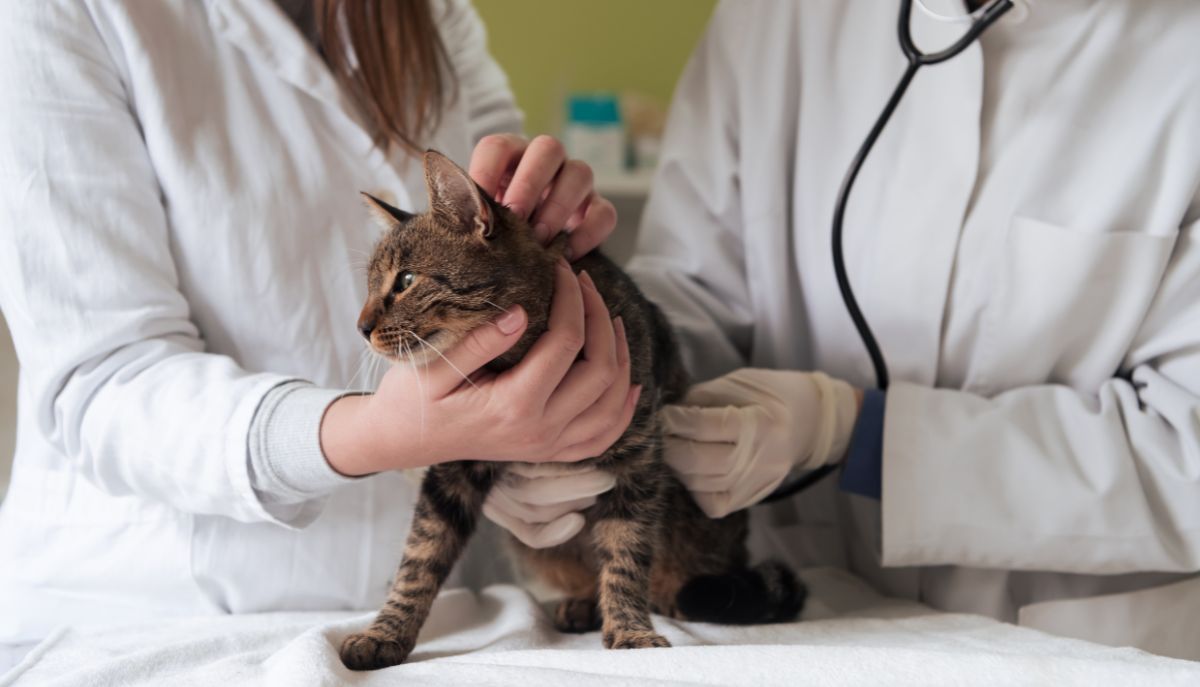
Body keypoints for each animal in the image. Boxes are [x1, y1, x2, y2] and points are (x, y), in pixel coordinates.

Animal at [340, 150, 806, 672]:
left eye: (405, 280)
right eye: (369, 285)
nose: (361, 326)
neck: (515, 356)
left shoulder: (638, 462)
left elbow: (626, 554)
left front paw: (630, 628)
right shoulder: (451, 467)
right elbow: (419, 557)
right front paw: (385, 632)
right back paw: (582, 604)